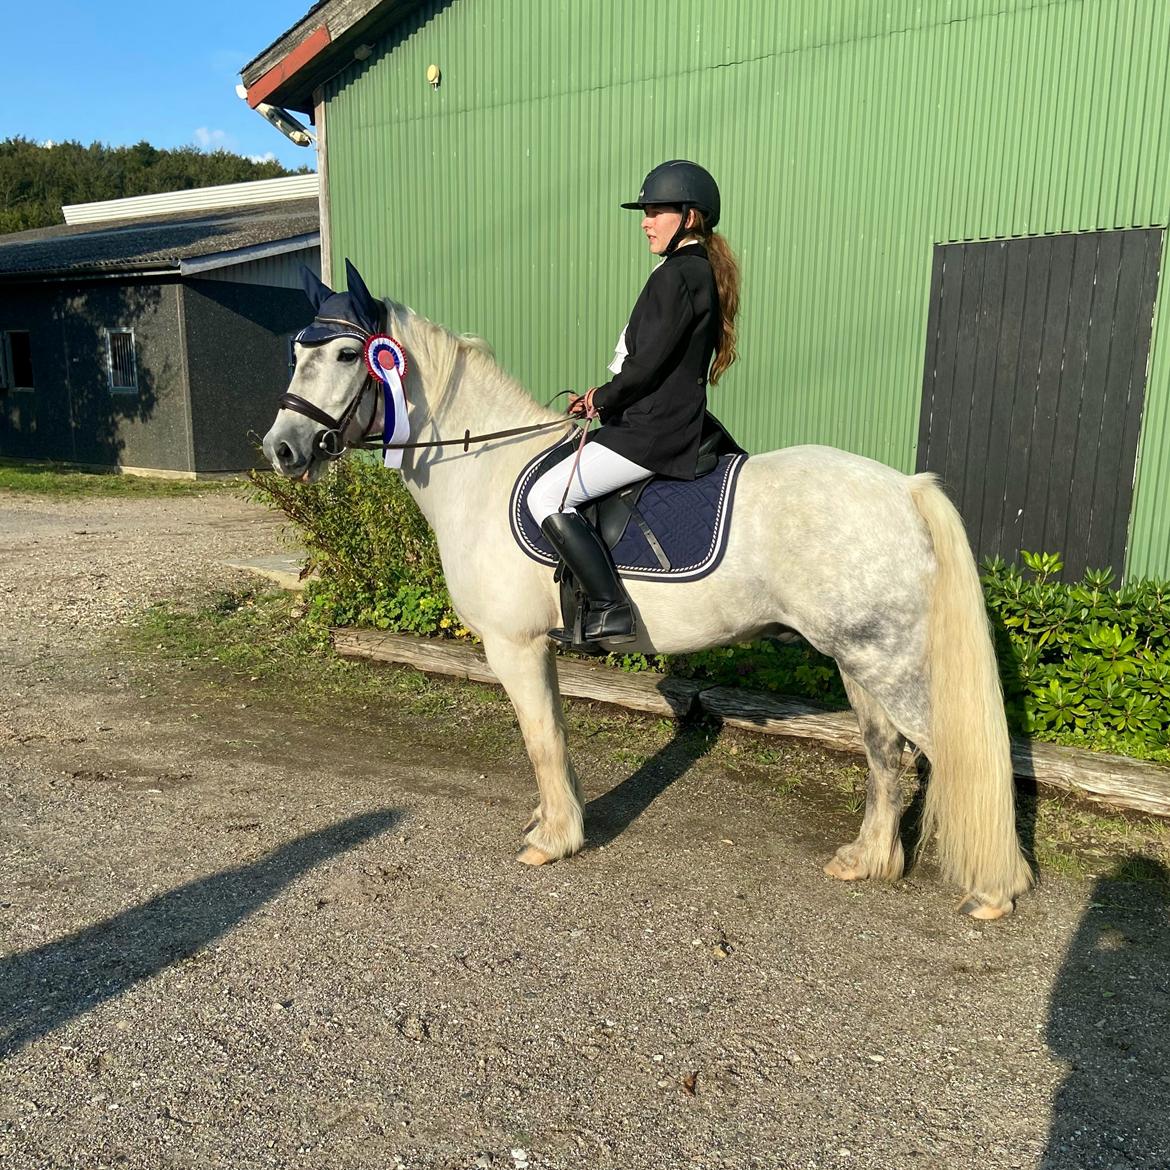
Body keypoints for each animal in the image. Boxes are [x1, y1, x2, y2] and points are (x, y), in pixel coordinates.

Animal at [263, 269, 1034, 917]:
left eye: (346, 356)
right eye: (297, 353)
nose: (282, 450)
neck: (482, 469)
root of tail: (905, 488)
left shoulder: (513, 645)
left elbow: (541, 738)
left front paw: (553, 840)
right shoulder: (537, 647)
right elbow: (554, 733)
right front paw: (557, 821)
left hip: (888, 663)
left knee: (951, 755)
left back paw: (995, 891)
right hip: (859, 662)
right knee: (886, 753)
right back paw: (869, 860)